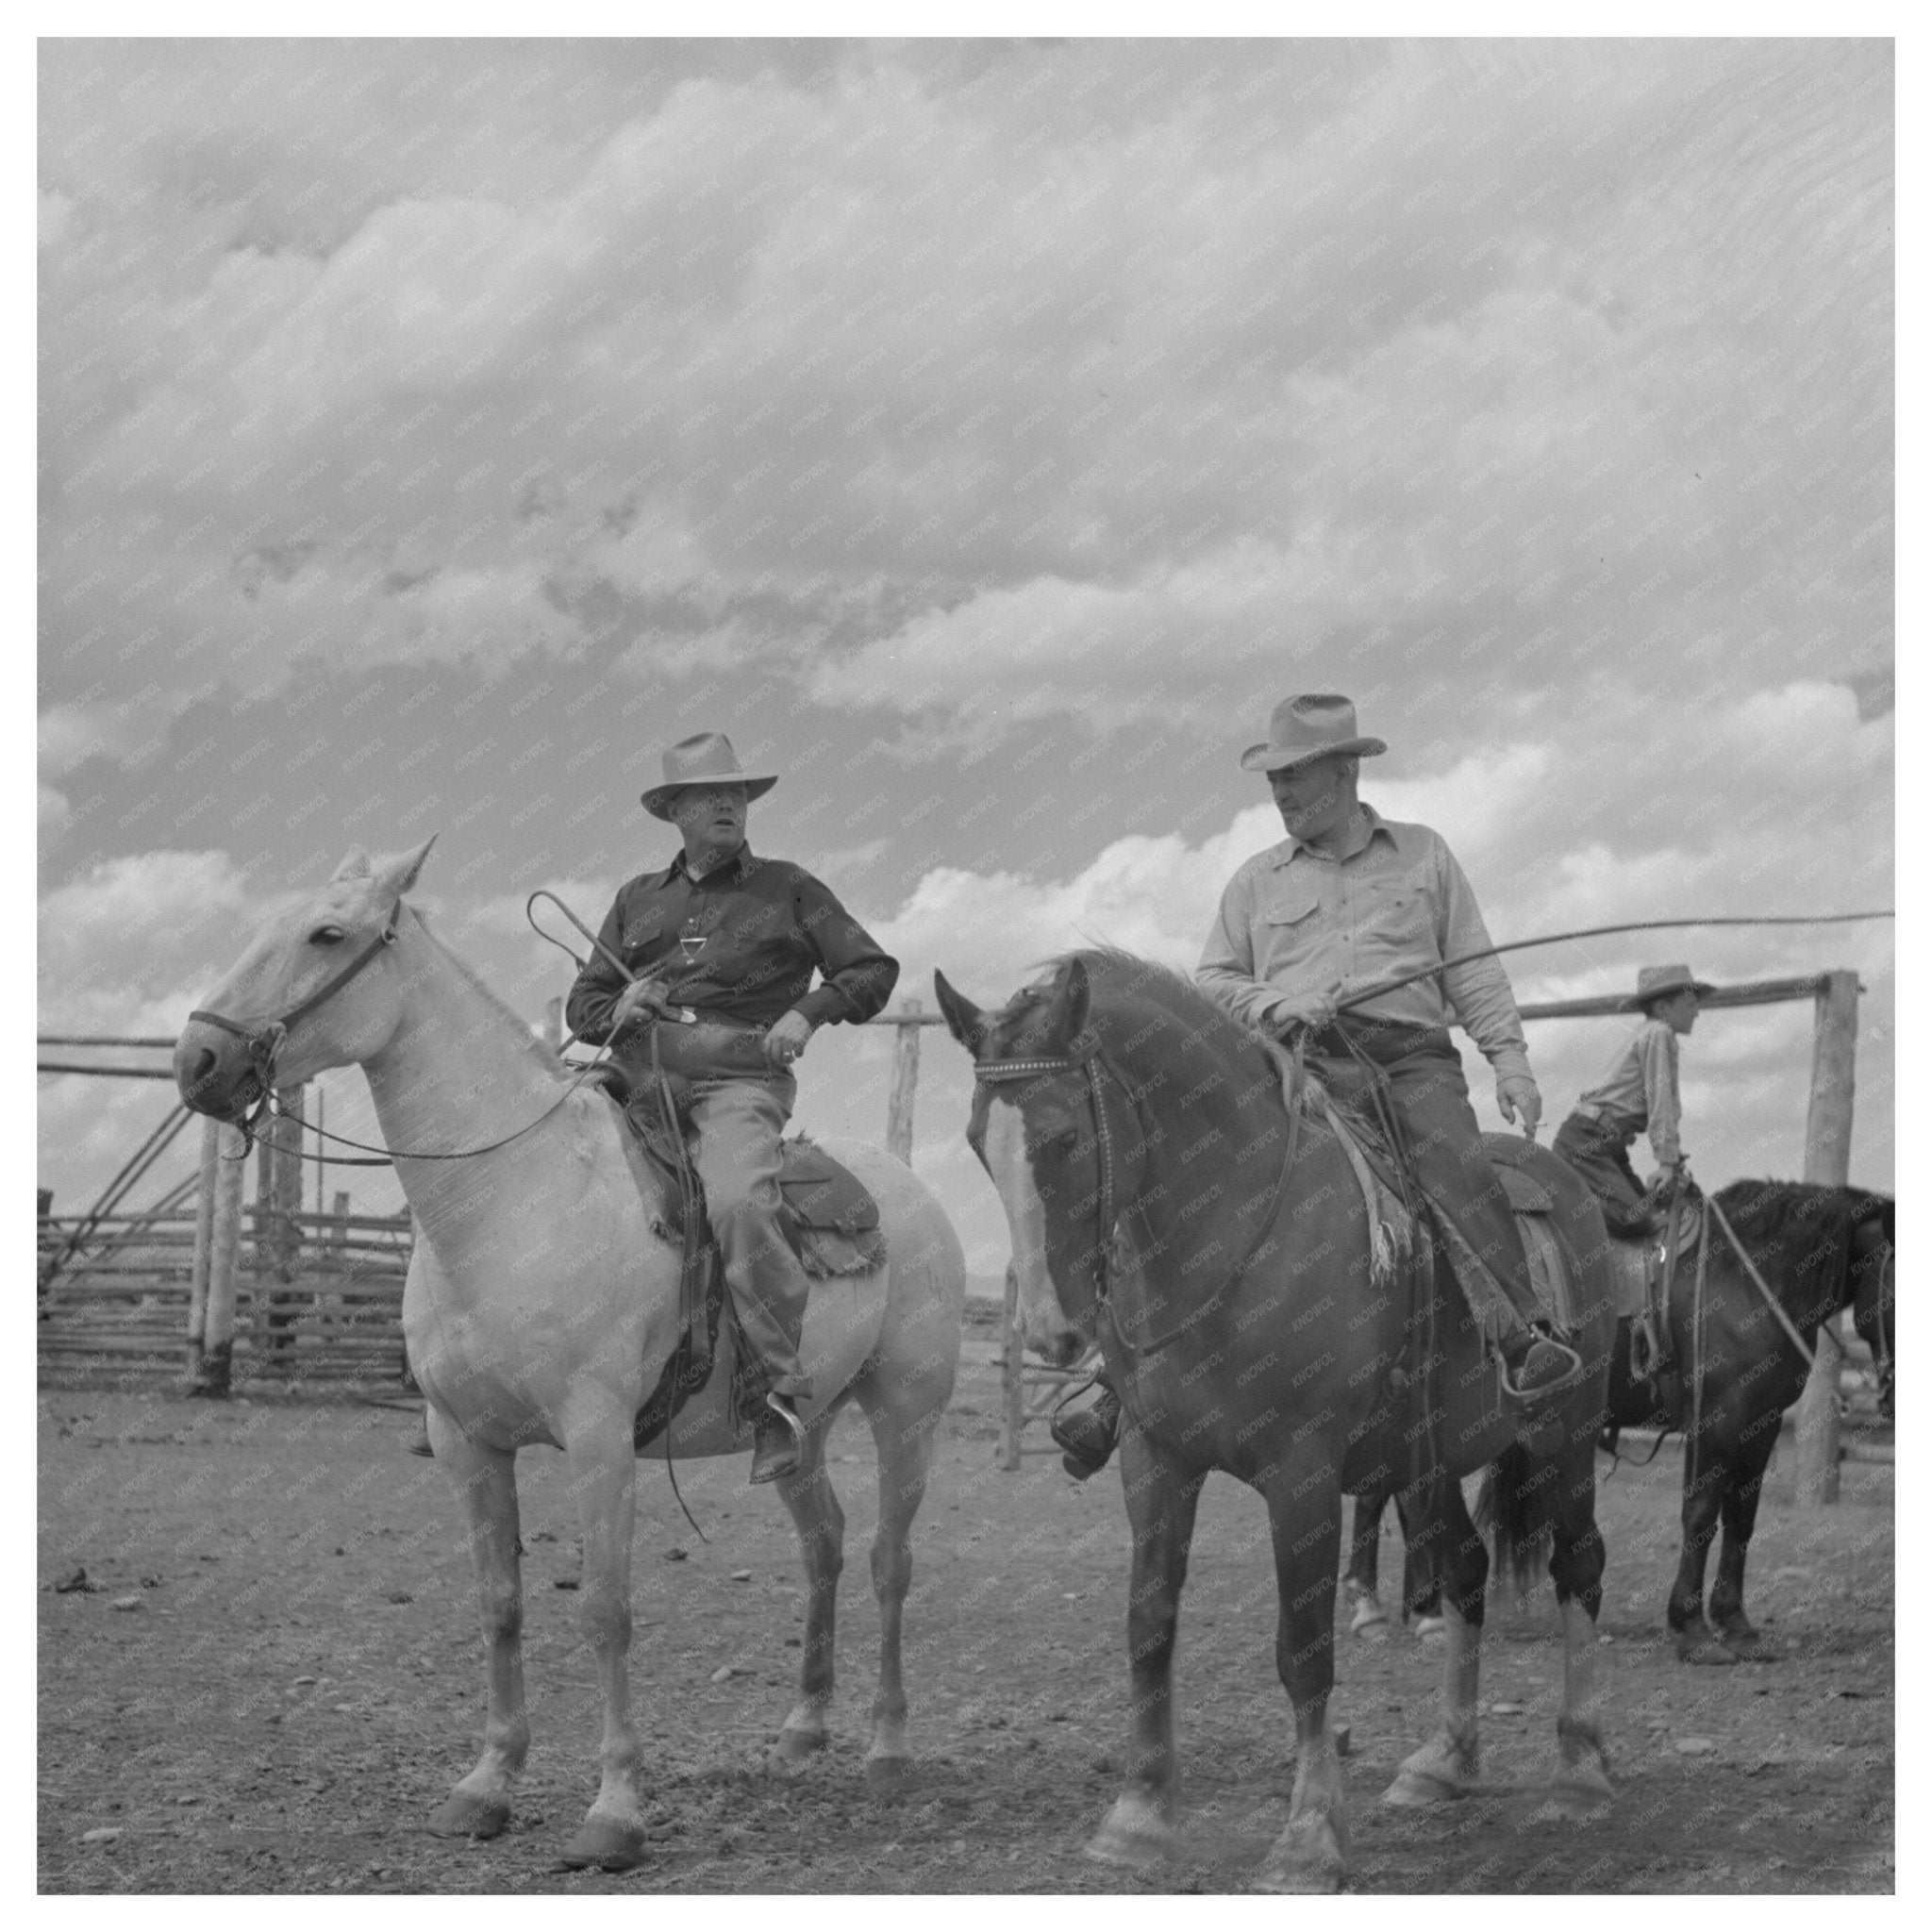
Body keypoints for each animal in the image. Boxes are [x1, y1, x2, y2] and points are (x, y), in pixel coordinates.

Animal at [175, 838, 966, 1862]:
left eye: (328, 933)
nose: (198, 1058)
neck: (513, 1199)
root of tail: (907, 1189)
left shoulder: (598, 1437)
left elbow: (604, 1610)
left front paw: (614, 1810)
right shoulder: (466, 1440)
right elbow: (500, 1604)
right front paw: (486, 1784)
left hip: (907, 1410)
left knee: (886, 1561)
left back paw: (886, 1749)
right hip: (803, 1424)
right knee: (825, 1544)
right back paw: (801, 1733)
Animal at [935, 958, 1615, 1893]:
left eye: (1067, 1138)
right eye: (977, 1141)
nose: (1050, 1334)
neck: (1229, 1238)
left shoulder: (1302, 1478)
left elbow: (1304, 1651)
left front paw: (1308, 1839)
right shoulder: (1155, 1460)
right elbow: (1149, 1626)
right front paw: (1138, 1817)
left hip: (1564, 1435)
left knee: (1578, 1565)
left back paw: (1579, 1772)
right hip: (1431, 1459)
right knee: (1468, 1572)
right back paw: (1443, 1761)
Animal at [1599, 1174, 1901, 1661]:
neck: (1749, 1282)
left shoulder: (1761, 1423)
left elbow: (1741, 1517)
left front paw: (1734, 1622)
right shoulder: (1714, 1422)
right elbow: (1701, 1515)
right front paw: (1691, 1627)